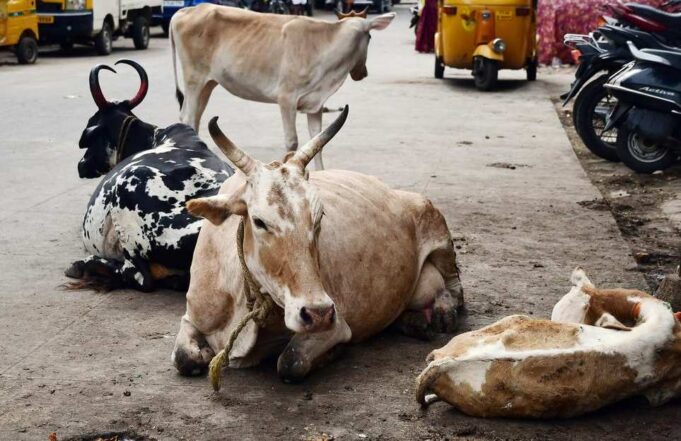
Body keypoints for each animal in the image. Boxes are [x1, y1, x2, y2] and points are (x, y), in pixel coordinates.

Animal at [169, 4, 395, 170]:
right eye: (370, 37)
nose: (362, 73)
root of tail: (187, 10)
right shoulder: (286, 98)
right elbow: (292, 141)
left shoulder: (315, 103)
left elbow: (318, 140)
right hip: (194, 78)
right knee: (187, 116)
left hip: (209, 83)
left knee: (195, 117)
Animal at [171, 107, 464, 383]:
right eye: (259, 221)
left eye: (319, 216)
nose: (318, 313)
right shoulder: (191, 317)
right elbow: (184, 359)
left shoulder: (336, 325)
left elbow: (290, 362)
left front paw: (333, 353)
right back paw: (414, 322)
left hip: (437, 227)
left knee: (453, 287)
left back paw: (443, 312)